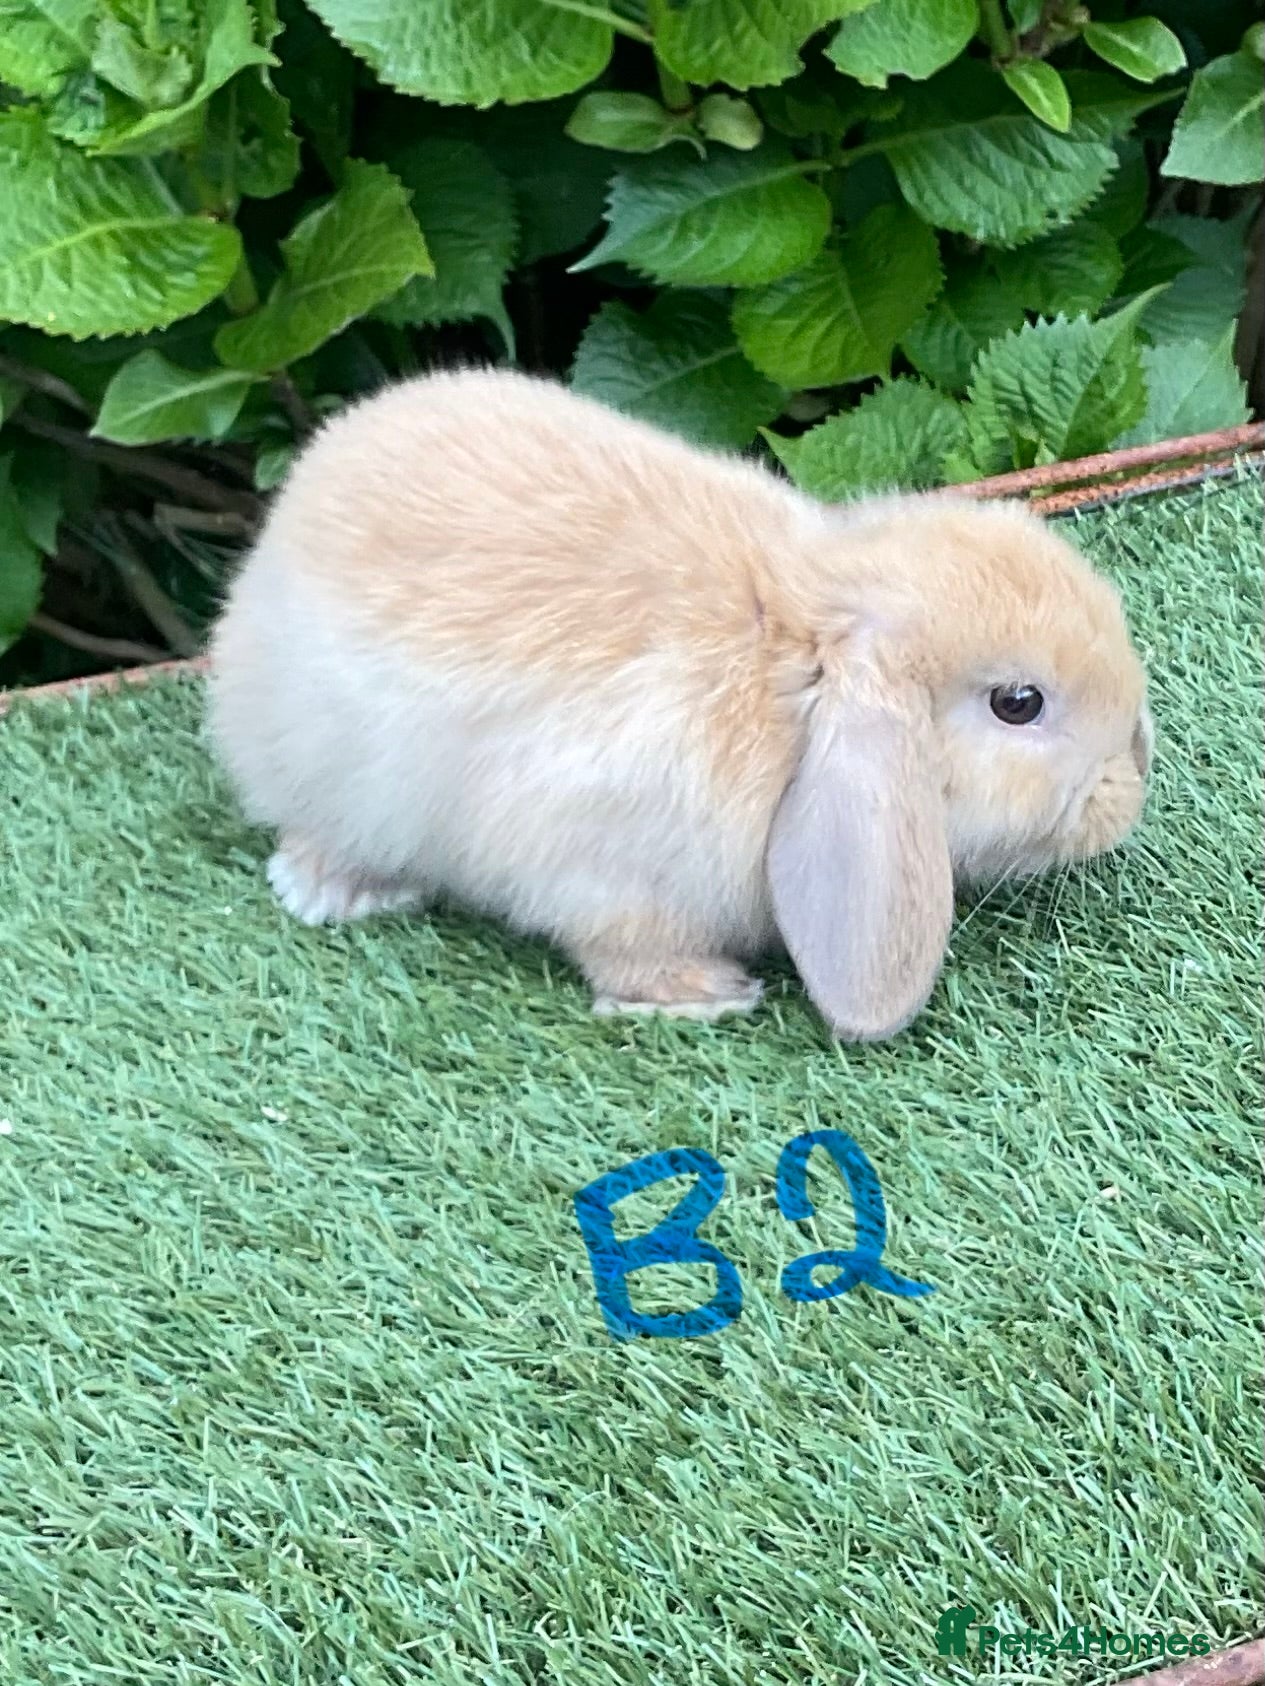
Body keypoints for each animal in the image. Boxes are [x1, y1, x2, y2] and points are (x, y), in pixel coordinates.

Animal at [205, 367, 1152, 1042]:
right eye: (1018, 703)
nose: (1131, 778)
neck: (793, 674)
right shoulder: (601, 870)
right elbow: (623, 948)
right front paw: (705, 996)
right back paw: (333, 889)